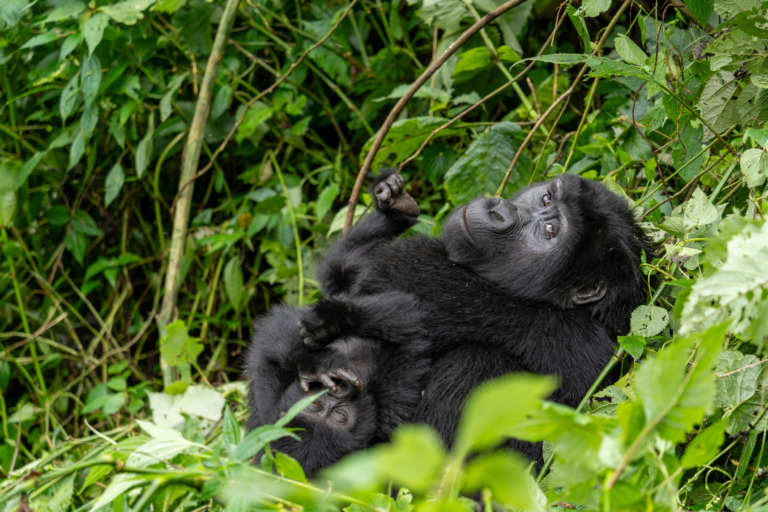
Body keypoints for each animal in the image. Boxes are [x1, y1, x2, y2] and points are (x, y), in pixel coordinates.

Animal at [244, 294, 428, 478]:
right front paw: (313, 361)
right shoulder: (391, 404)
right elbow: (411, 334)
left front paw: (314, 362)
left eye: (316, 403)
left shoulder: (269, 400)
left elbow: (270, 340)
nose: (338, 391)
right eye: (340, 415)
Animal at [300, 172, 648, 460]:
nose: (499, 210)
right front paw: (393, 207)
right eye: (546, 198)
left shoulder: (567, 337)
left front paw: (340, 316)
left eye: (550, 231)